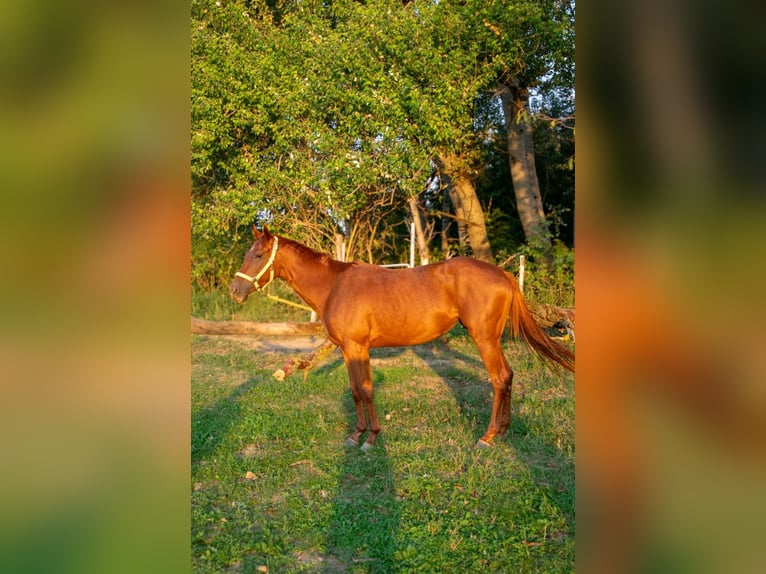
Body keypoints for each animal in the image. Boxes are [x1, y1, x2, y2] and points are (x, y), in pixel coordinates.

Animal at [231, 227, 572, 452]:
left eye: (258, 254)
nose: (235, 291)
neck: (334, 285)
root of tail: (504, 275)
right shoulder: (347, 350)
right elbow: (355, 391)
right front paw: (355, 435)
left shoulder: (358, 348)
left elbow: (367, 390)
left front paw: (371, 438)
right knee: (509, 376)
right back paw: (502, 432)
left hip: (485, 339)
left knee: (499, 378)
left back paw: (487, 437)